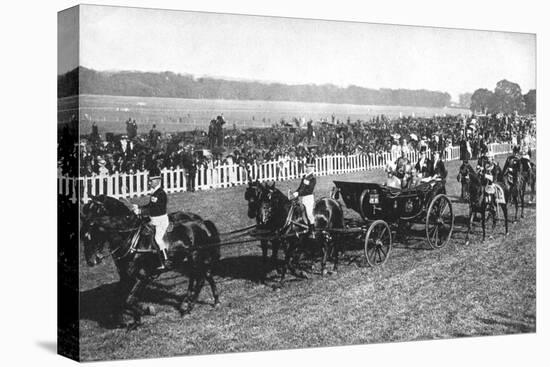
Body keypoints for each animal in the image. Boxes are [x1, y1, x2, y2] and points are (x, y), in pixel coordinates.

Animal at [80, 197, 222, 330]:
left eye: (93, 233)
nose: (91, 261)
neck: (132, 240)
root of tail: (202, 223)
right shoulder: (126, 277)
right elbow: (118, 298)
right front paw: (124, 320)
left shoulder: (143, 277)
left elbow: (129, 301)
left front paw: (143, 315)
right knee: (205, 276)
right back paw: (213, 301)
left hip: (196, 260)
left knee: (200, 279)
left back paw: (188, 308)